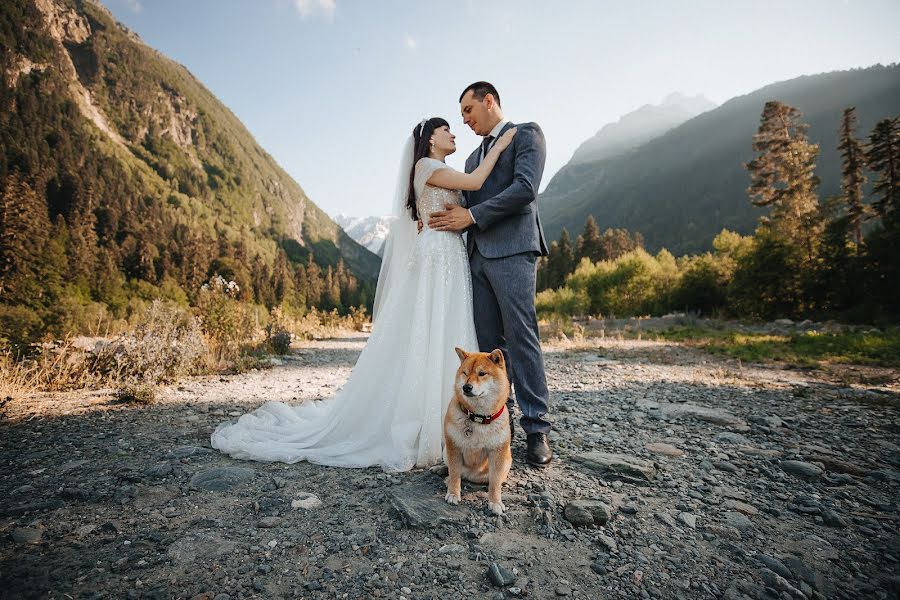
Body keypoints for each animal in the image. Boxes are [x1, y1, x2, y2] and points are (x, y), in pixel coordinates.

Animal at [444, 346, 512, 516]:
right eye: (465, 373)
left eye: (482, 373)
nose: (466, 387)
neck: (478, 417)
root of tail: (470, 475)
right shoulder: (453, 446)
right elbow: (454, 473)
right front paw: (453, 493)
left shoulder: (497, 452)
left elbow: (494, 482)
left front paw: (495, 502)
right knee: (454, 472)